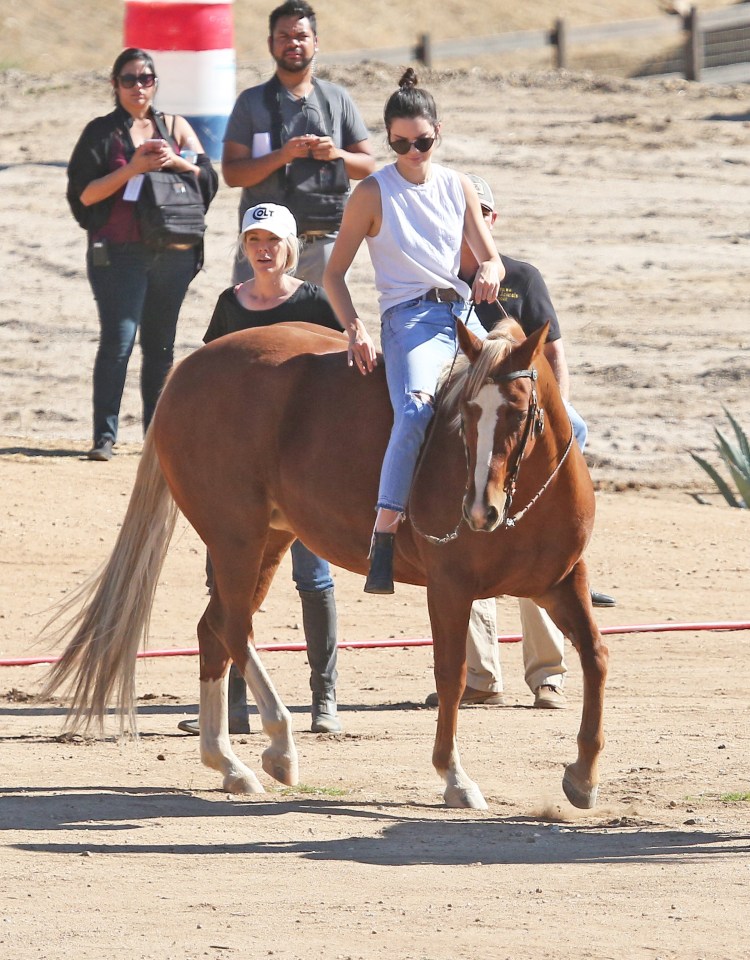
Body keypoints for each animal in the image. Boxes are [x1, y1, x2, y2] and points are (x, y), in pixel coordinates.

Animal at [42, 318, 612, 808]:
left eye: (518, 412)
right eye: (466, 414)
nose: (479, 509)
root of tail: (189, 368)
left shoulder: (562, 582)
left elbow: (596, 657)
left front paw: (583, 777)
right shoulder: (449, 589)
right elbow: (449, 675)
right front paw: (454, 778)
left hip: (269, 540)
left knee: (214, 630)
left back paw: (228, 764)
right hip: (235, 538)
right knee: (232, 628)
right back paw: (278, 746)